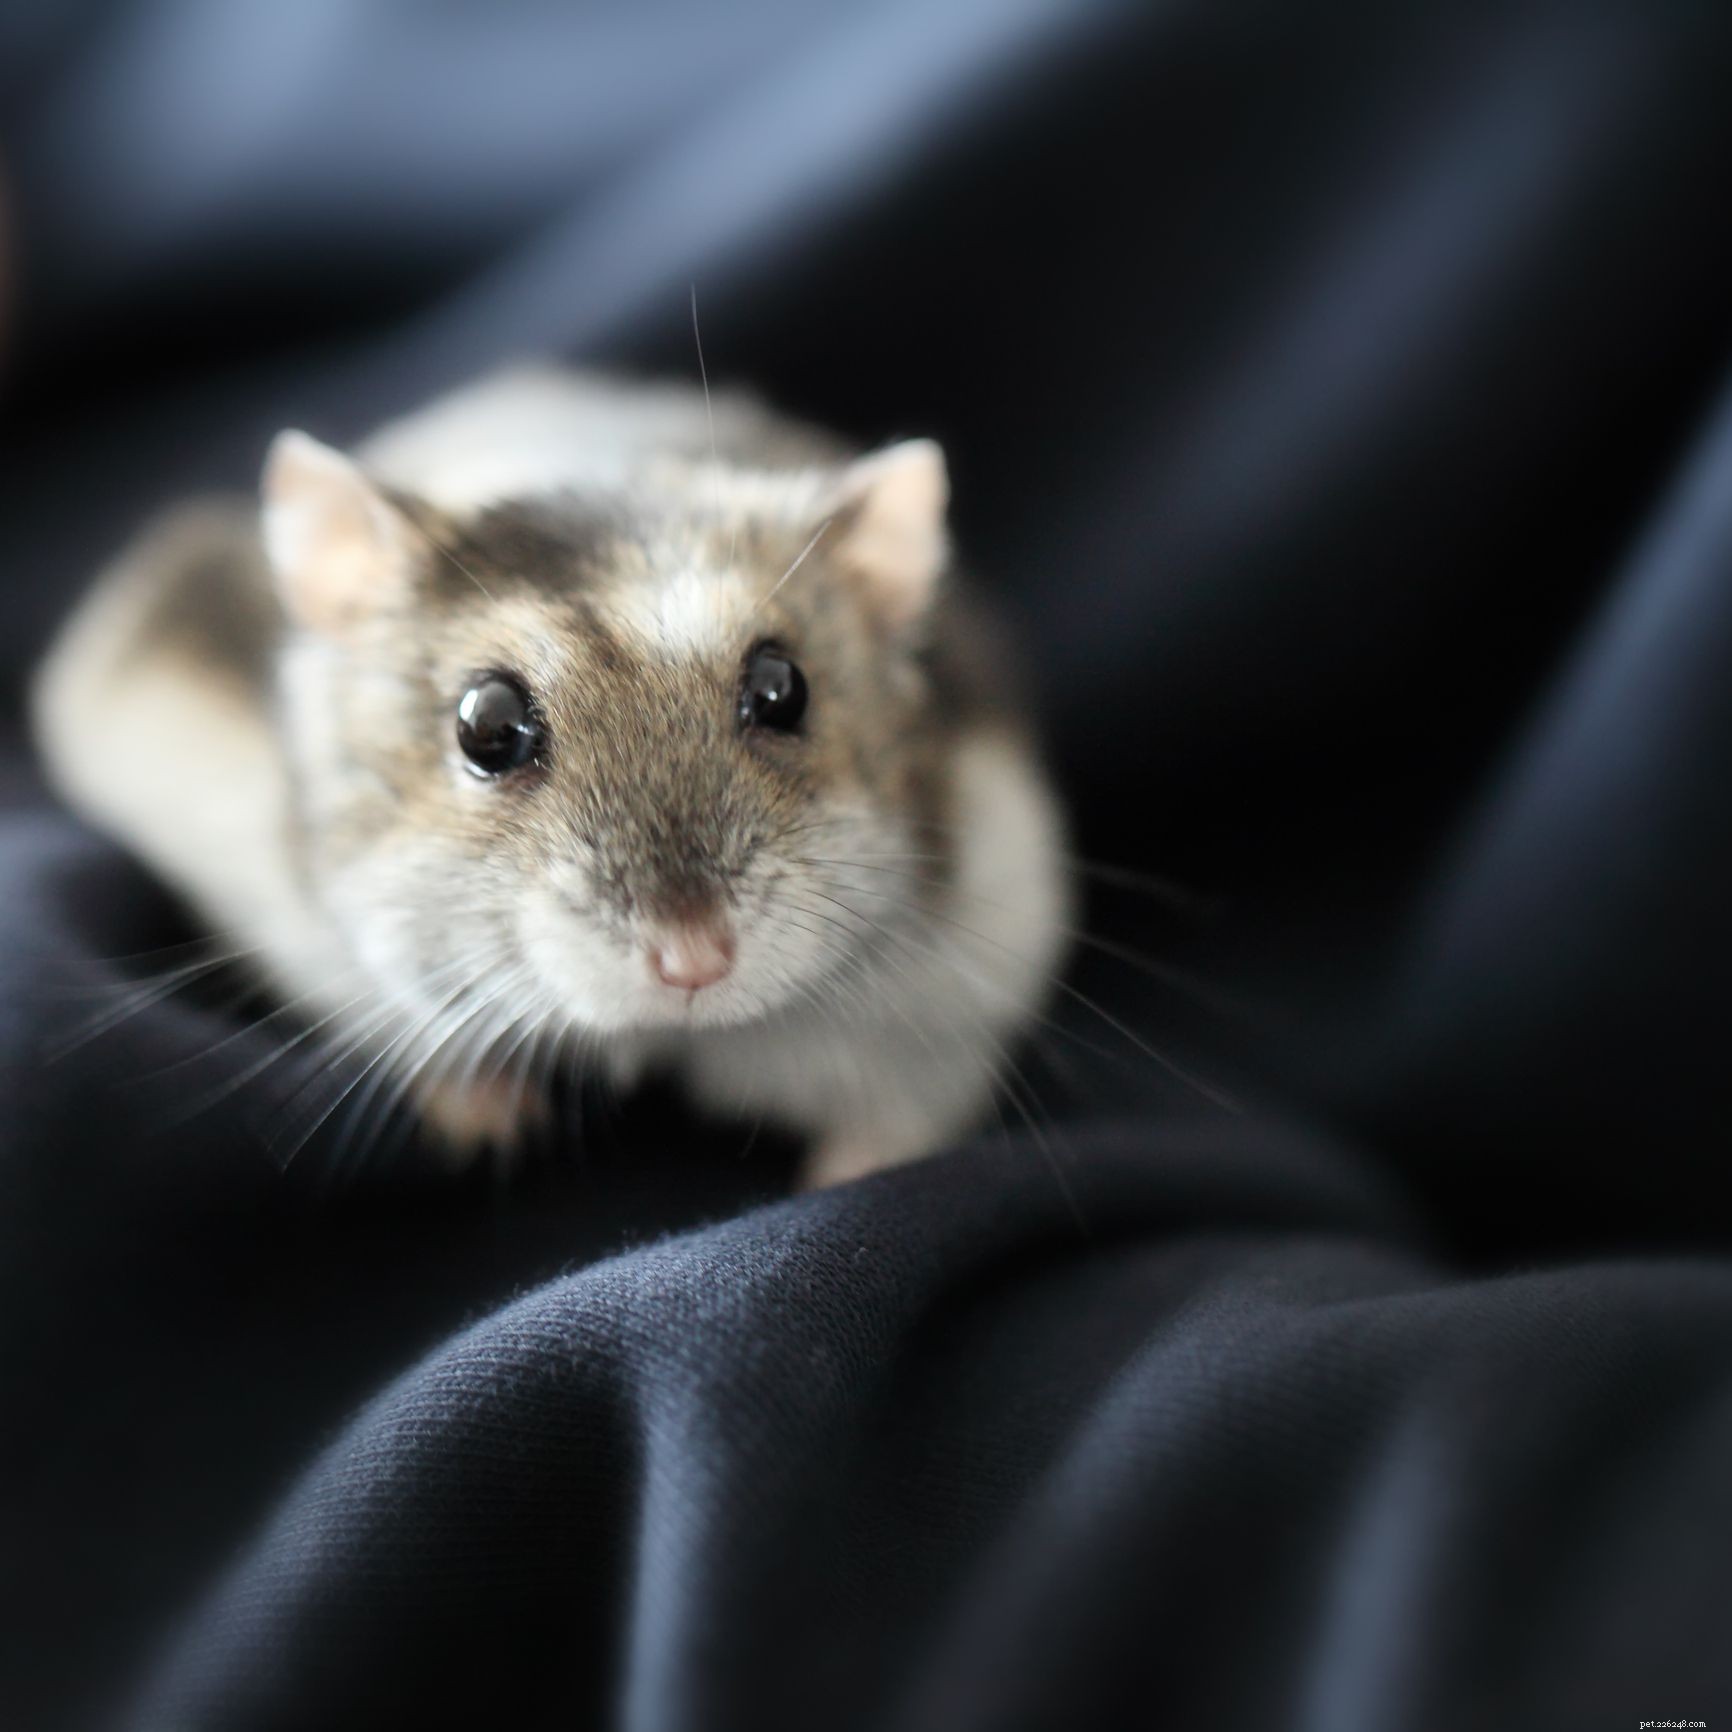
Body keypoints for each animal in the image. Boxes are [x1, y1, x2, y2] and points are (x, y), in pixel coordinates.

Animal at [31, 367, 1070, 1187]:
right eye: (486, 727)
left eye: (784, 689)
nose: (694, 963)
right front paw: (494, 1126)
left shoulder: (963, 987)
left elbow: (904, 1110)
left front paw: (846, 1175)